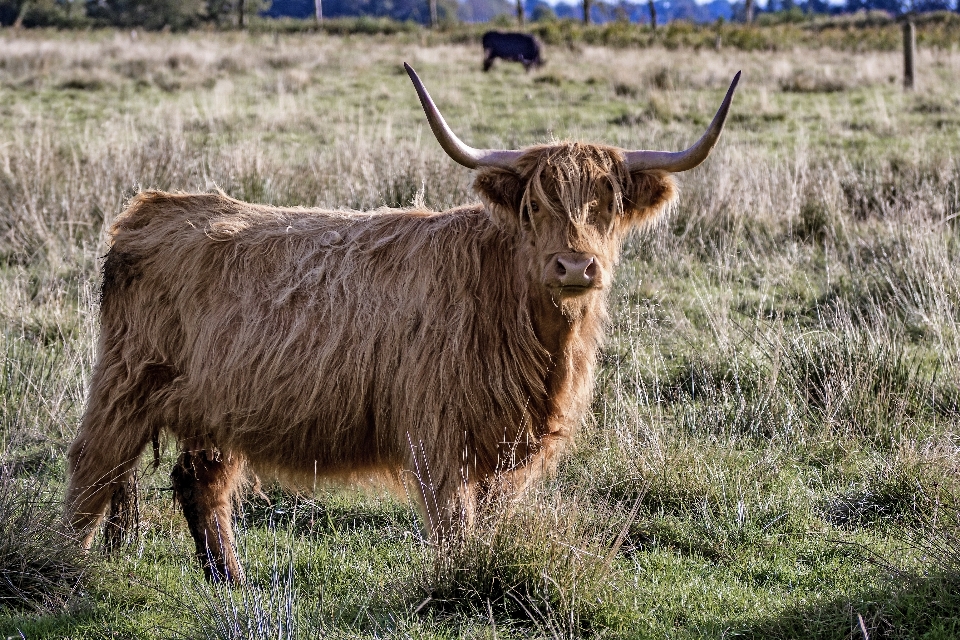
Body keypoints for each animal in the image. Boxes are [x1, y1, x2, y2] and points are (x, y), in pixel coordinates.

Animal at [65, 63, 744, 580]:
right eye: (535, 207)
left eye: (607, 205)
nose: (575, 266)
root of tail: (150, 208)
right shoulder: (439, 433)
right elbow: (454, 523)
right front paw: (460, 581)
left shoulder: (503, 448)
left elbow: (485, 521)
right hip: (125, 382)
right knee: (93, 468)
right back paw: (65, 565)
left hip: (215, 403)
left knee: (199, 482)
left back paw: (232, 582)